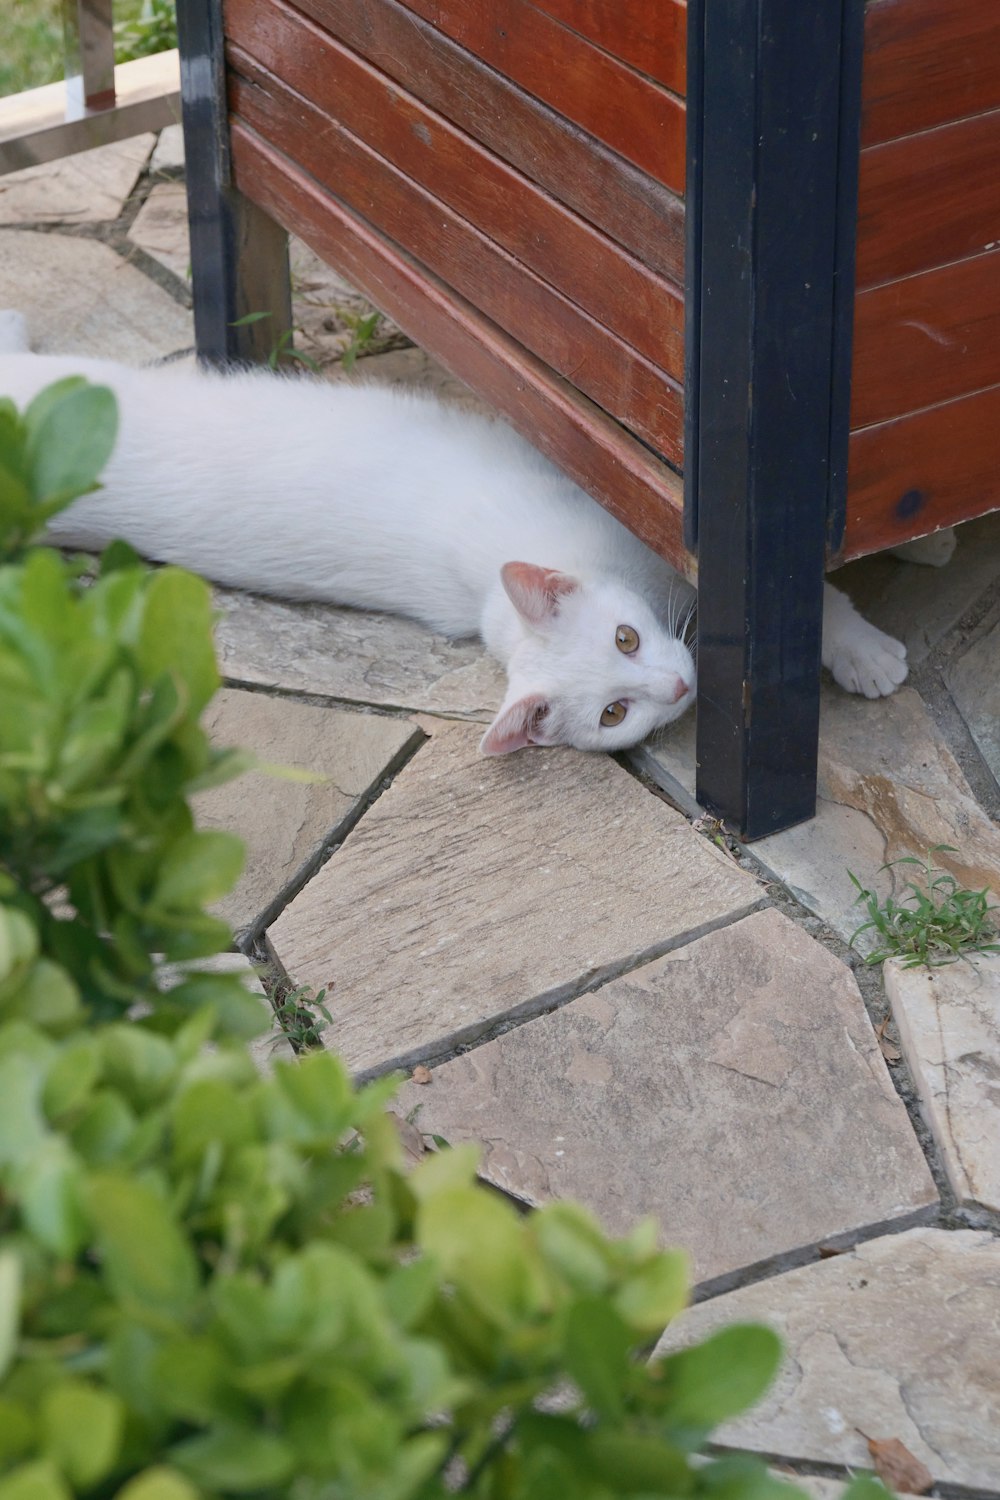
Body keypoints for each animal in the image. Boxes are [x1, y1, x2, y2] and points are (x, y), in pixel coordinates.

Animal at [0, 313, 911, 762]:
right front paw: (860, 649)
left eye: (624, 636)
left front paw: (860, 647)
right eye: (615, 712)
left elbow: (812, 591)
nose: (681, 687)